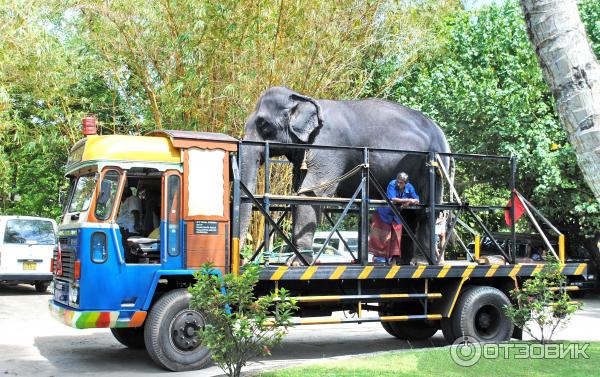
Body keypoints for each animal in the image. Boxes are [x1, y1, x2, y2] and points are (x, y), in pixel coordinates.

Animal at [239, 87, 450, 264]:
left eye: (264, 124)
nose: (241, 260)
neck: (304, 98)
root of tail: (442, 134)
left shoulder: (328, 146)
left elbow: (312, 192)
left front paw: (298, 262)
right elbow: (298, 189)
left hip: (434, 166)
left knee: (425, 210)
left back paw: (420, 263)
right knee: (409, 214)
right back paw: (405, 263)